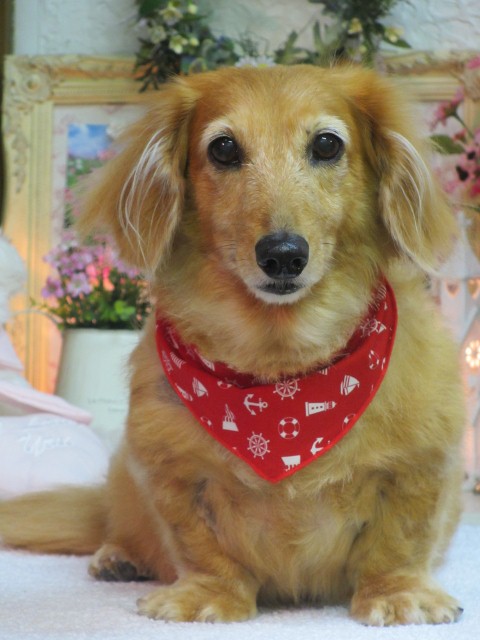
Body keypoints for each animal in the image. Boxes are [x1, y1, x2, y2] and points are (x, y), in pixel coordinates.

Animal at [0, 65, 465, 626]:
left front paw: (398, 593)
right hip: (125, 483)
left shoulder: (421, 465)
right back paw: (118, 555)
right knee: (126, 528)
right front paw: (208, 595)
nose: (283, 255)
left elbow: (400, 540)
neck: (281, 374)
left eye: (327, 144)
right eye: (223, 149)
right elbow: (200, 545)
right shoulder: (171, 472)